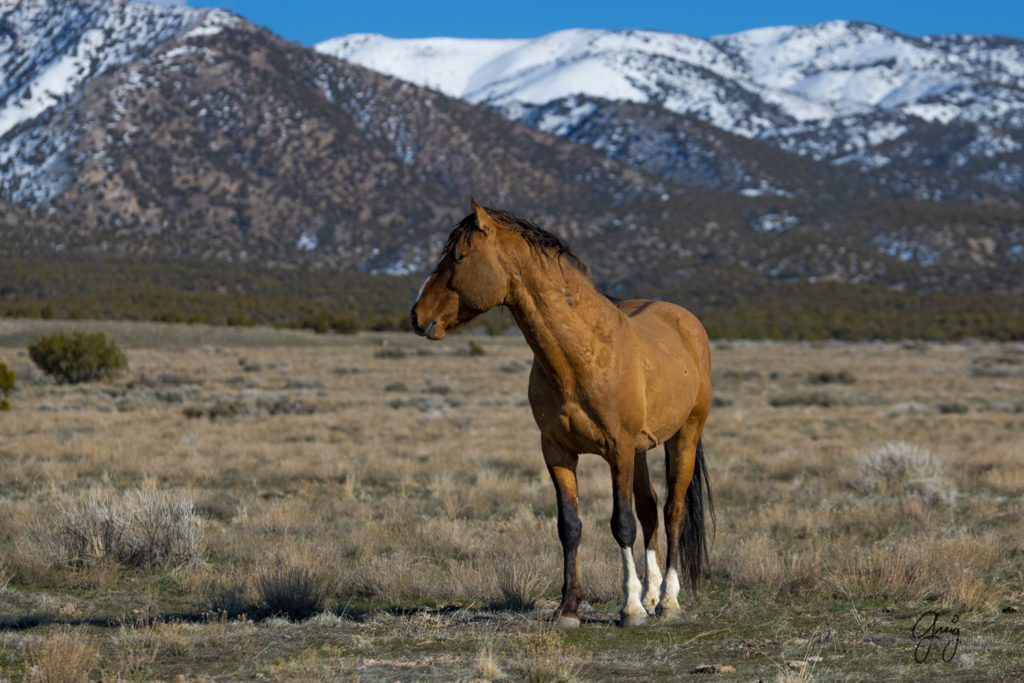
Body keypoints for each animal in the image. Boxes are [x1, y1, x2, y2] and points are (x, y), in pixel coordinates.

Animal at [407, 200, 712, 626]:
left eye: (459, 257)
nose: (417, 316)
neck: (582, 353)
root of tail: (688, 321)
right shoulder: (557, 451)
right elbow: (570, 526)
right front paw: (568, 608)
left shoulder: (618, 450)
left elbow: (622, 524)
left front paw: (630, 608)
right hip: (640, 451)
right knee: (650, 508)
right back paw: (652, 594)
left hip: (684, 436)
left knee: (673, 512)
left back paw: (667, 601)